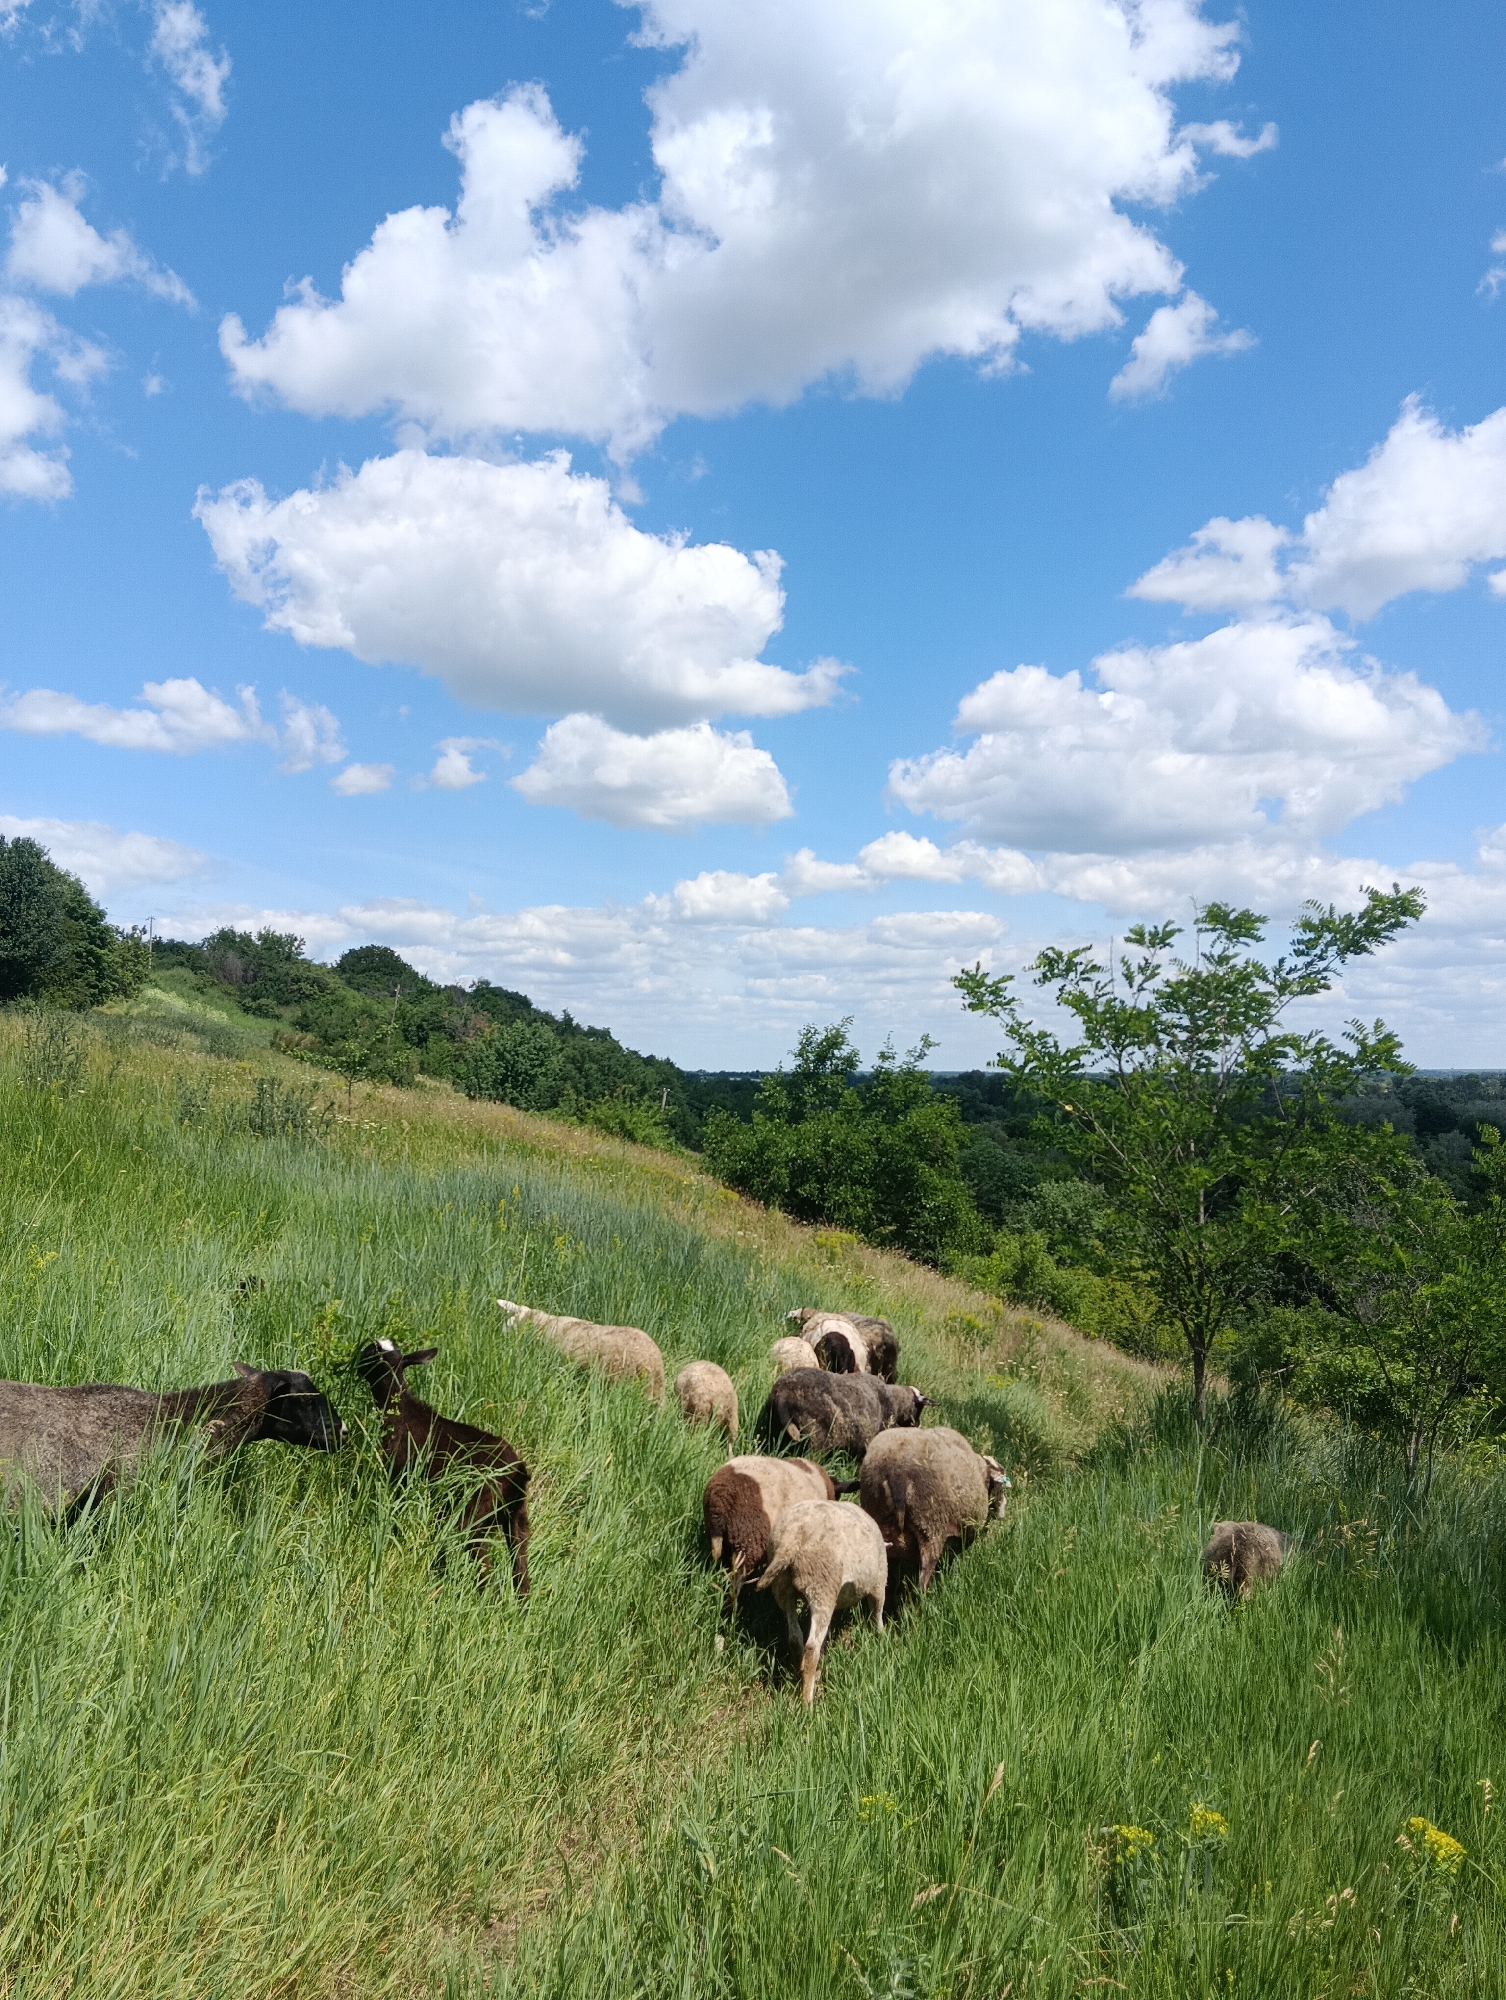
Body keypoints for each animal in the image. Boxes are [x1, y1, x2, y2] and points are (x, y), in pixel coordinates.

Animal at [356, 1339, 530, 1595]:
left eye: (370, 1351)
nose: (356, 1365)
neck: (399, 1409)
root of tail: (518, 1472)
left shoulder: (399, 1478)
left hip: (475, 1513)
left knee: (485, 1567)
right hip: (517, 1517)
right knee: (520, 1568)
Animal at [755, 1499, 888, 1704]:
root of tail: (792, 1538)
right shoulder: (879, 1582)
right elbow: (877, 1612)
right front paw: (881, 1637)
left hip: (783, 1586)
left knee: (795, 1638)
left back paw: (799, 1672)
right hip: (822, 1584)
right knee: (811, 1647)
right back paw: (807, 1700)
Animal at [859, 1426, 1011, 1593]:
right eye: (999, 1487)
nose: (1002, 1512)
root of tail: (896, 1471)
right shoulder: (963, 1536)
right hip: (931, 1528)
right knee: (922, 1581)